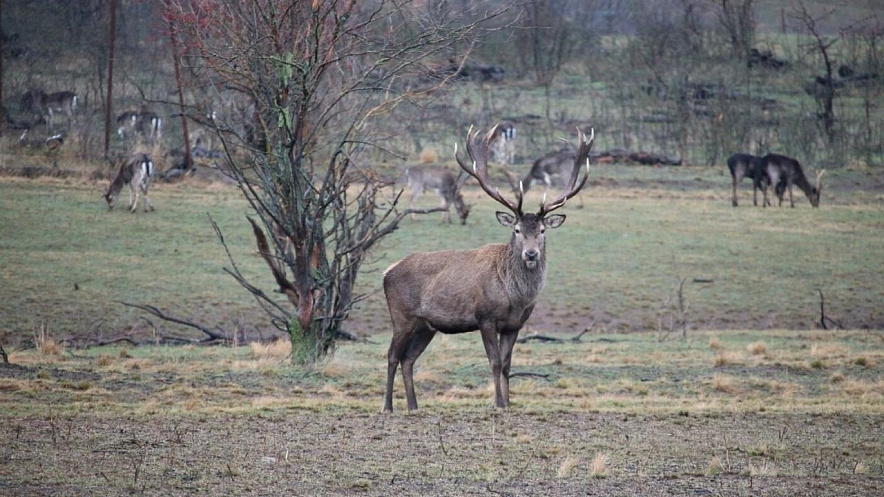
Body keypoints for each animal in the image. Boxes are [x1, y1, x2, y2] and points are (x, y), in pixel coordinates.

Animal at [382, 124, 592, 410]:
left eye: (542, 230)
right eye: (516, 229)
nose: (531, 253)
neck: (515, 298)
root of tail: (387, 272)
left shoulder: (515, 325)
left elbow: (506, 365)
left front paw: (509, 403)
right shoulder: (485, 317)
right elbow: (493, 362)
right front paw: (498, 403)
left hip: (427, 325)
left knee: (408, 358)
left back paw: (414, 406)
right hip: (401, 316)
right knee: (392, 355)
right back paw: (388, 406)